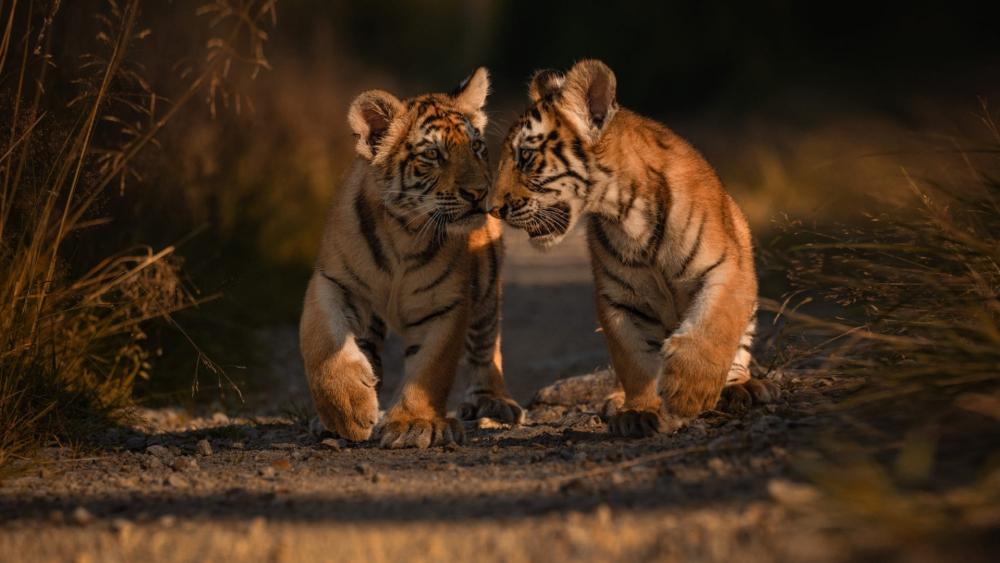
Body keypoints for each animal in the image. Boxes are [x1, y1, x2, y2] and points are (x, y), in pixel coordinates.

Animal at [299, 68, 522, 449]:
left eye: (477, 147)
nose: (480, 193)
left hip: (486, 289)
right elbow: (321, 340)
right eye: (433, 154)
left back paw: (493, 401)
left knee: (487, 344)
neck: (404, 232)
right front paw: (348, 411)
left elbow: (430, 368)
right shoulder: (334, 281)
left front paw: (414, 424)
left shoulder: (446, 304)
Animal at [489, 59, 779, 437]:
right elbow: (634, 361)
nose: (492, 208)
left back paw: (744, 387)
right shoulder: (619, 300)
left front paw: (689, 392)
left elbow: (712, 326)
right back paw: (616, 402)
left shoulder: (725, 269)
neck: (625, 213)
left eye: (524, 157)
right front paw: (639, 411)